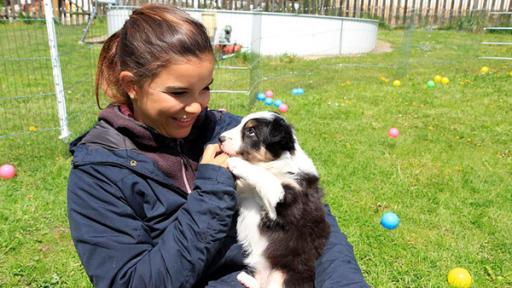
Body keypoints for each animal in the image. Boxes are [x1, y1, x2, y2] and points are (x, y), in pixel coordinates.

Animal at [218, 111, 330, 286]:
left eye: (251, 131)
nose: (220, 138)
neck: (275, 163)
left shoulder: (289, 204)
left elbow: (266, 178)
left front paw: (236, 162)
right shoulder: (243, 196)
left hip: (286, 275)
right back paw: (244, 278)